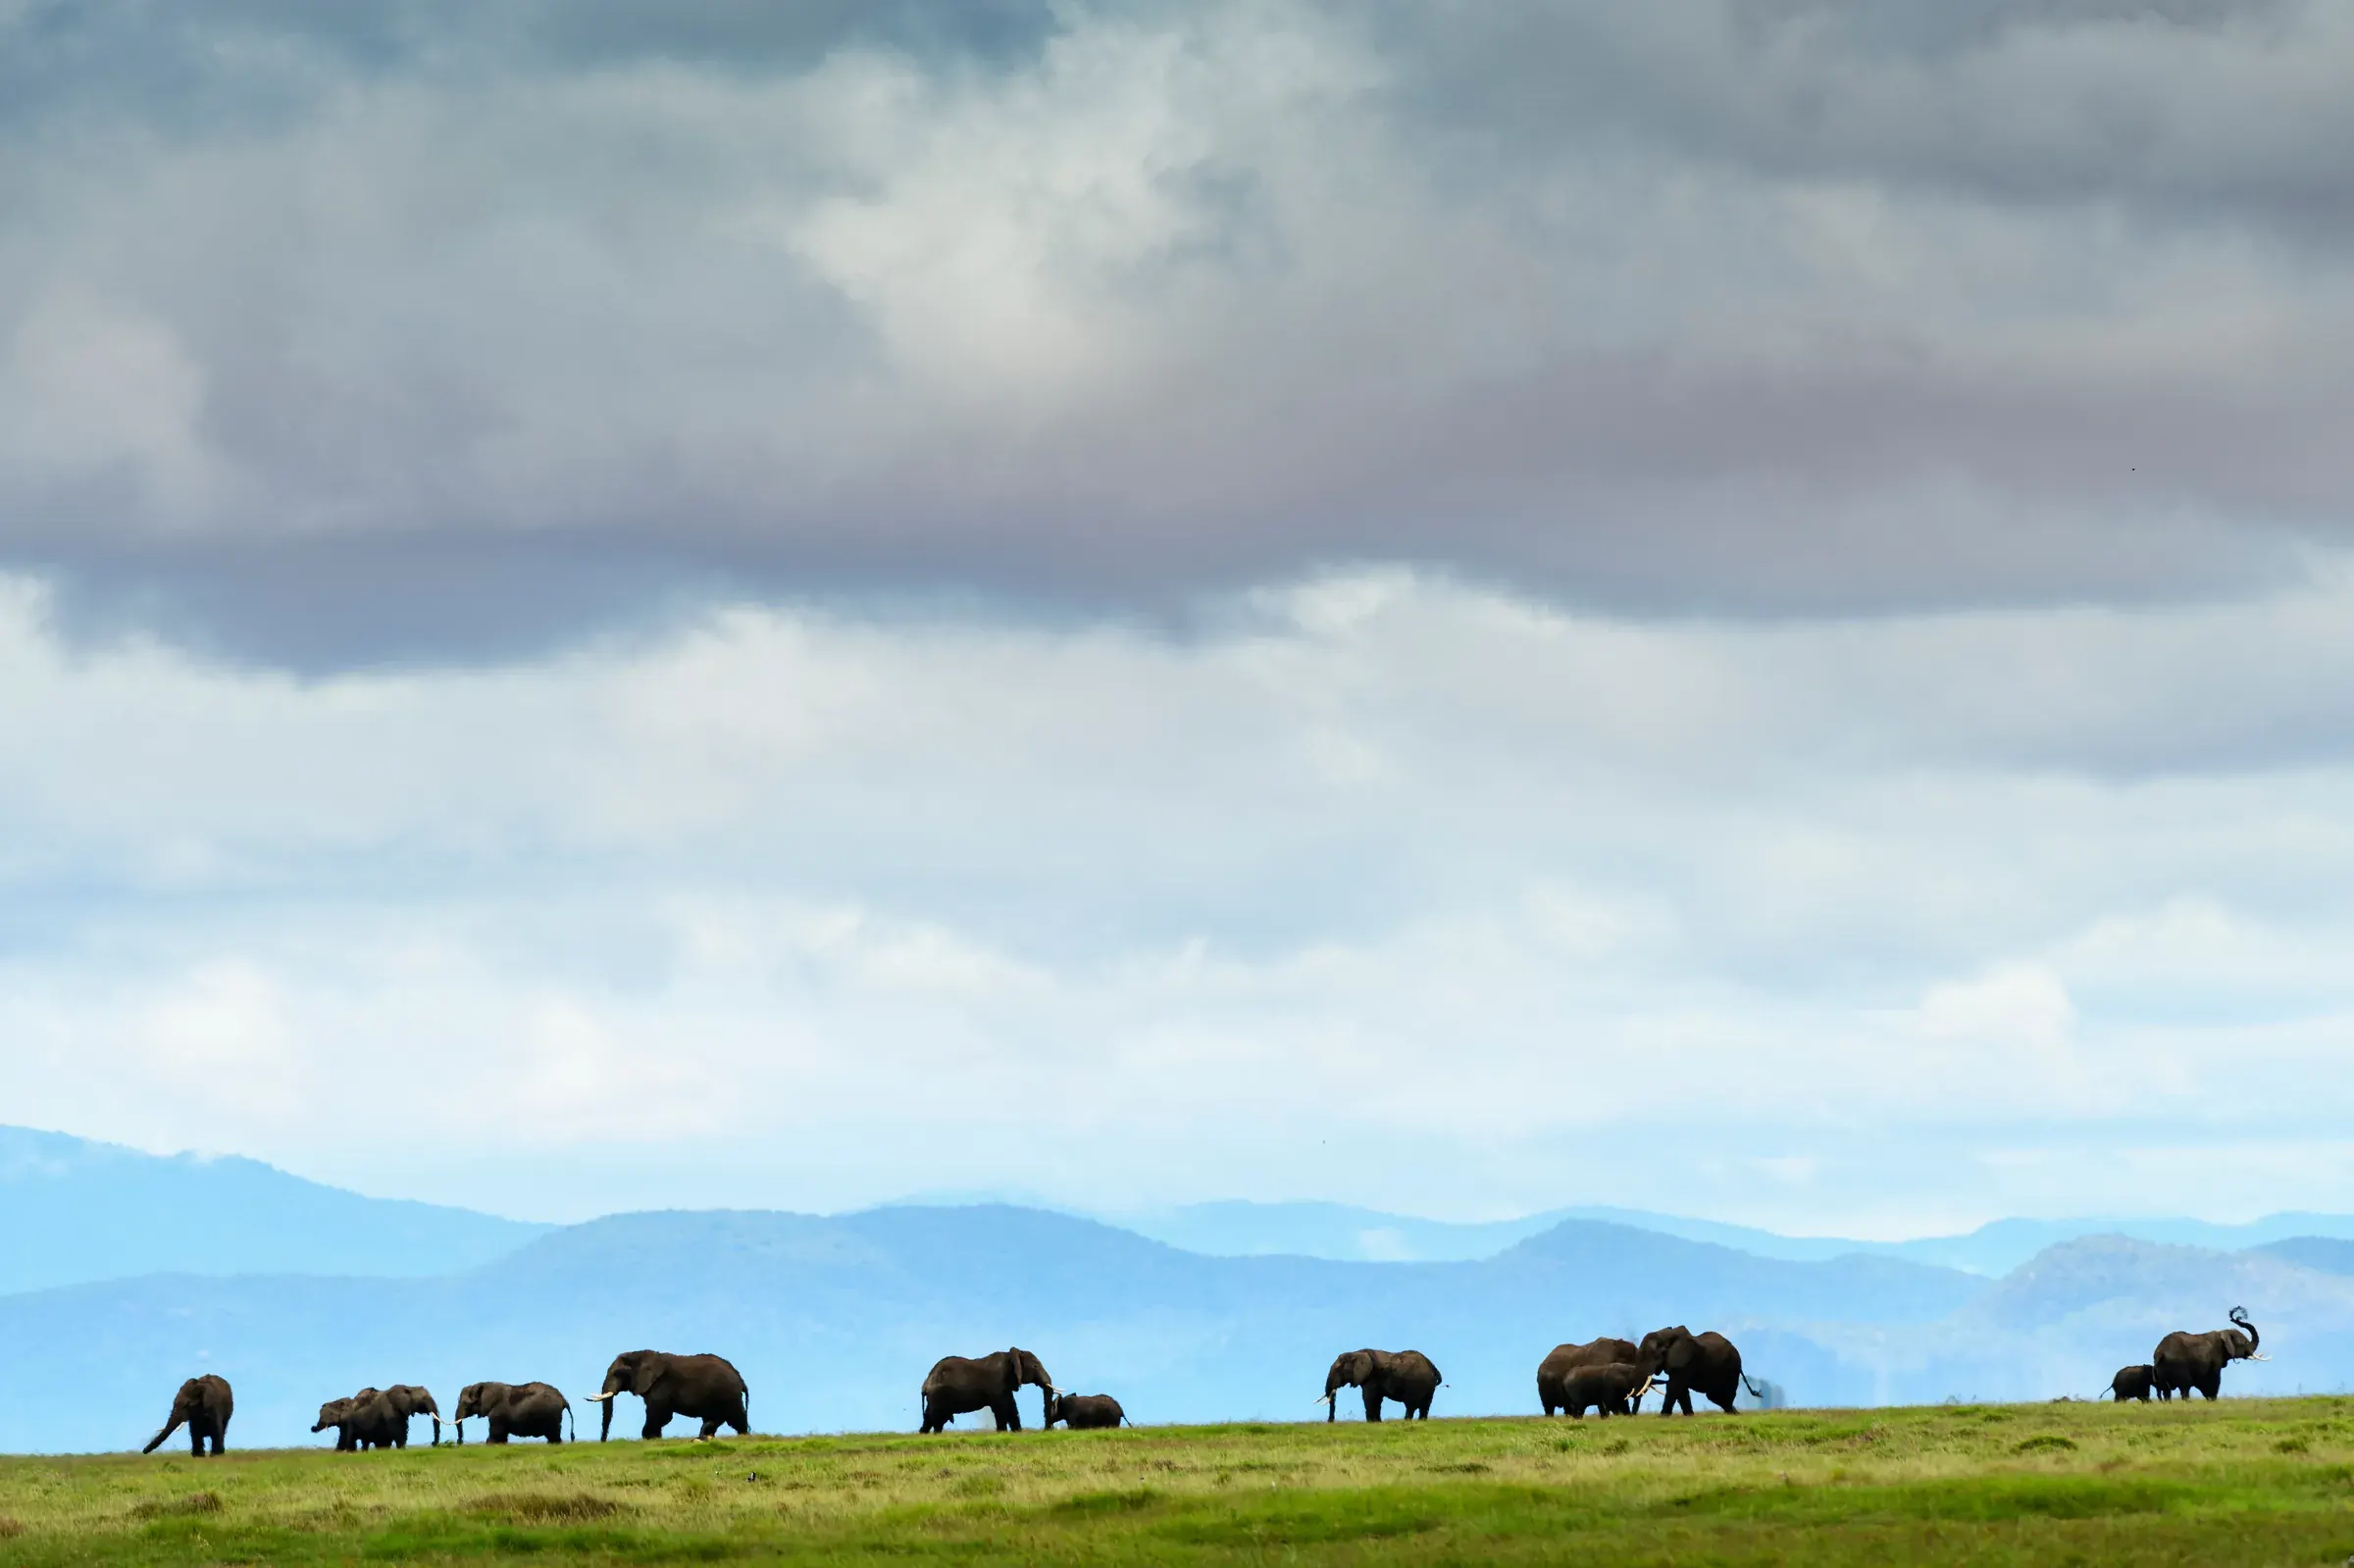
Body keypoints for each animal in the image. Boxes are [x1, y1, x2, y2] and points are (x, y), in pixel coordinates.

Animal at [586, 1351, 749, 1440]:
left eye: (617, 1373)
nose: (603, 1442)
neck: (639, 1354)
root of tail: (740, 1377)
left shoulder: (661, 1385)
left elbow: (659, 1414)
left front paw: (650, 1438)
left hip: (729, 1394)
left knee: (736, 1418)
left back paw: (744, 1436)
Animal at [920, 1348, 1056, 1433]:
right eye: (1035, 1366)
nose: (1047, 1430)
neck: (1011, 1355)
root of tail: (925, 1384)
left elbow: (1011, 1407)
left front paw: (1017, 1433)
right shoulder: (997, 1384)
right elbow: (1001, 1408)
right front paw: (1002, 1433)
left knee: (928, 1417)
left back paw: (923, 1434)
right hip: (938, 1396)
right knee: (938, 1420)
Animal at [1637, 1326, 1764, 1415]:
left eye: (1653, 1355)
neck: (1665, 1335)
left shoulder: (1685, 1361)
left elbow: (1674, 1386)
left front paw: (1663, 1416)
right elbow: (1681, 1389)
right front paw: (1689, 1415)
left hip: (1730, 1370)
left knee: (1722, 1395)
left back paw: (1733, 1413)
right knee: (1715, 1396)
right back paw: (1734, 1413)